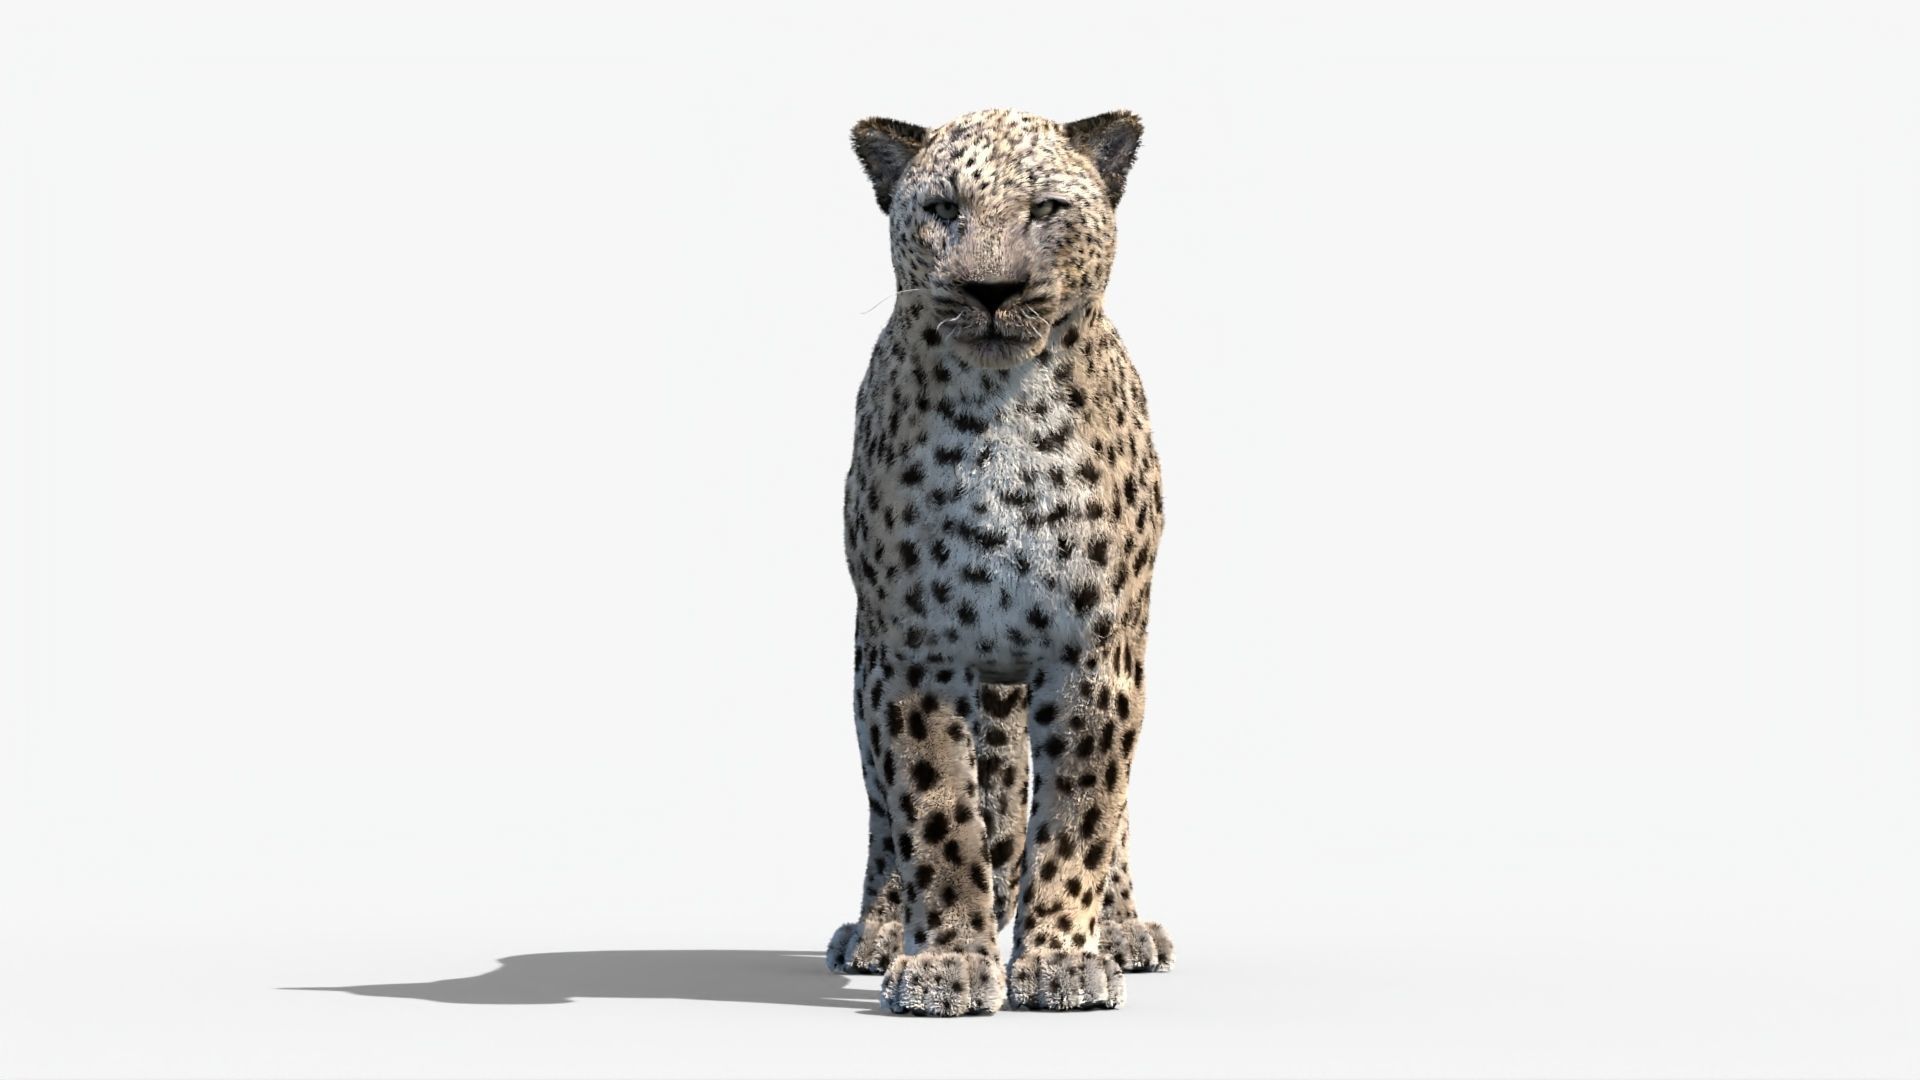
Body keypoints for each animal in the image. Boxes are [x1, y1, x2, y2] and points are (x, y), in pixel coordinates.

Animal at [824, 108, 1174, 1016]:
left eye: (1046, 209)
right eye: (944, 208)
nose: (992, 291)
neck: (1000, 410)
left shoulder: (1094, 652)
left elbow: (1084, 813)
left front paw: (1059, 960)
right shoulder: (914, 654)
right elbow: (935, 807)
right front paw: (946, 962)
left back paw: (1126, 930)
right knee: (887, 810)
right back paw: (877, 930)